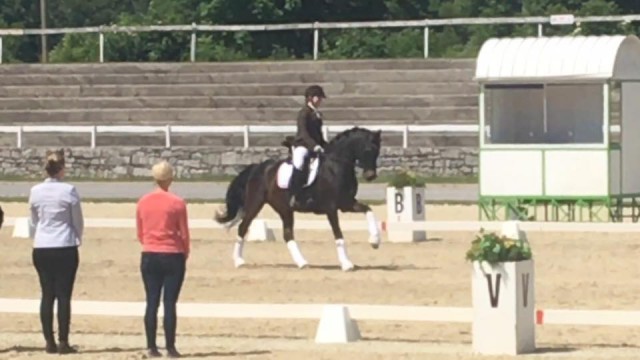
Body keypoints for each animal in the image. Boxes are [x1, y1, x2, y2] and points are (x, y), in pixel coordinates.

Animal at [215, 126, 384, 270]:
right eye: (368, 150)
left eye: (377, 151)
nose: (370, 176)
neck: (336, 166)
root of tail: (258, 167)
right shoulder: (331, 208)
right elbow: (338, 233)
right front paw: (346, 264)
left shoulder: (346, 204)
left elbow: (368, 210)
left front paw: (374, 241)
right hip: (256, 204)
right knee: (243, 228)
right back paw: (238, 261)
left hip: (284, 209)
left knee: (287, 234)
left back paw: (302, 262)